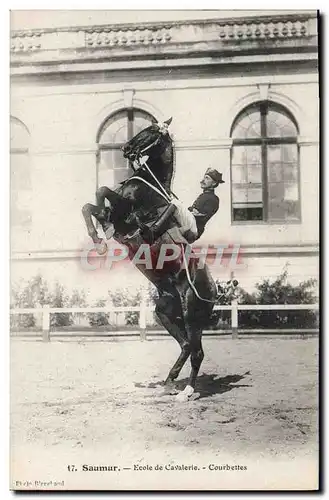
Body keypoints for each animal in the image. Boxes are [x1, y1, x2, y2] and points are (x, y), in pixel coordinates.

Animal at [81, 118, 222, 402]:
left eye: (152, 132)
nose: (126, 148)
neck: (150, 186)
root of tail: (214, 291)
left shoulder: (126, 215)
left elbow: (102, 191)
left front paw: (100, 233)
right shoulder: (117, 214)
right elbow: (91, 205)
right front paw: (97, 234)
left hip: (191, 313)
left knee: (195, 350)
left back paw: (186, 391)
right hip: (166, 311)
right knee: (187, 346)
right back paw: (170, 382)